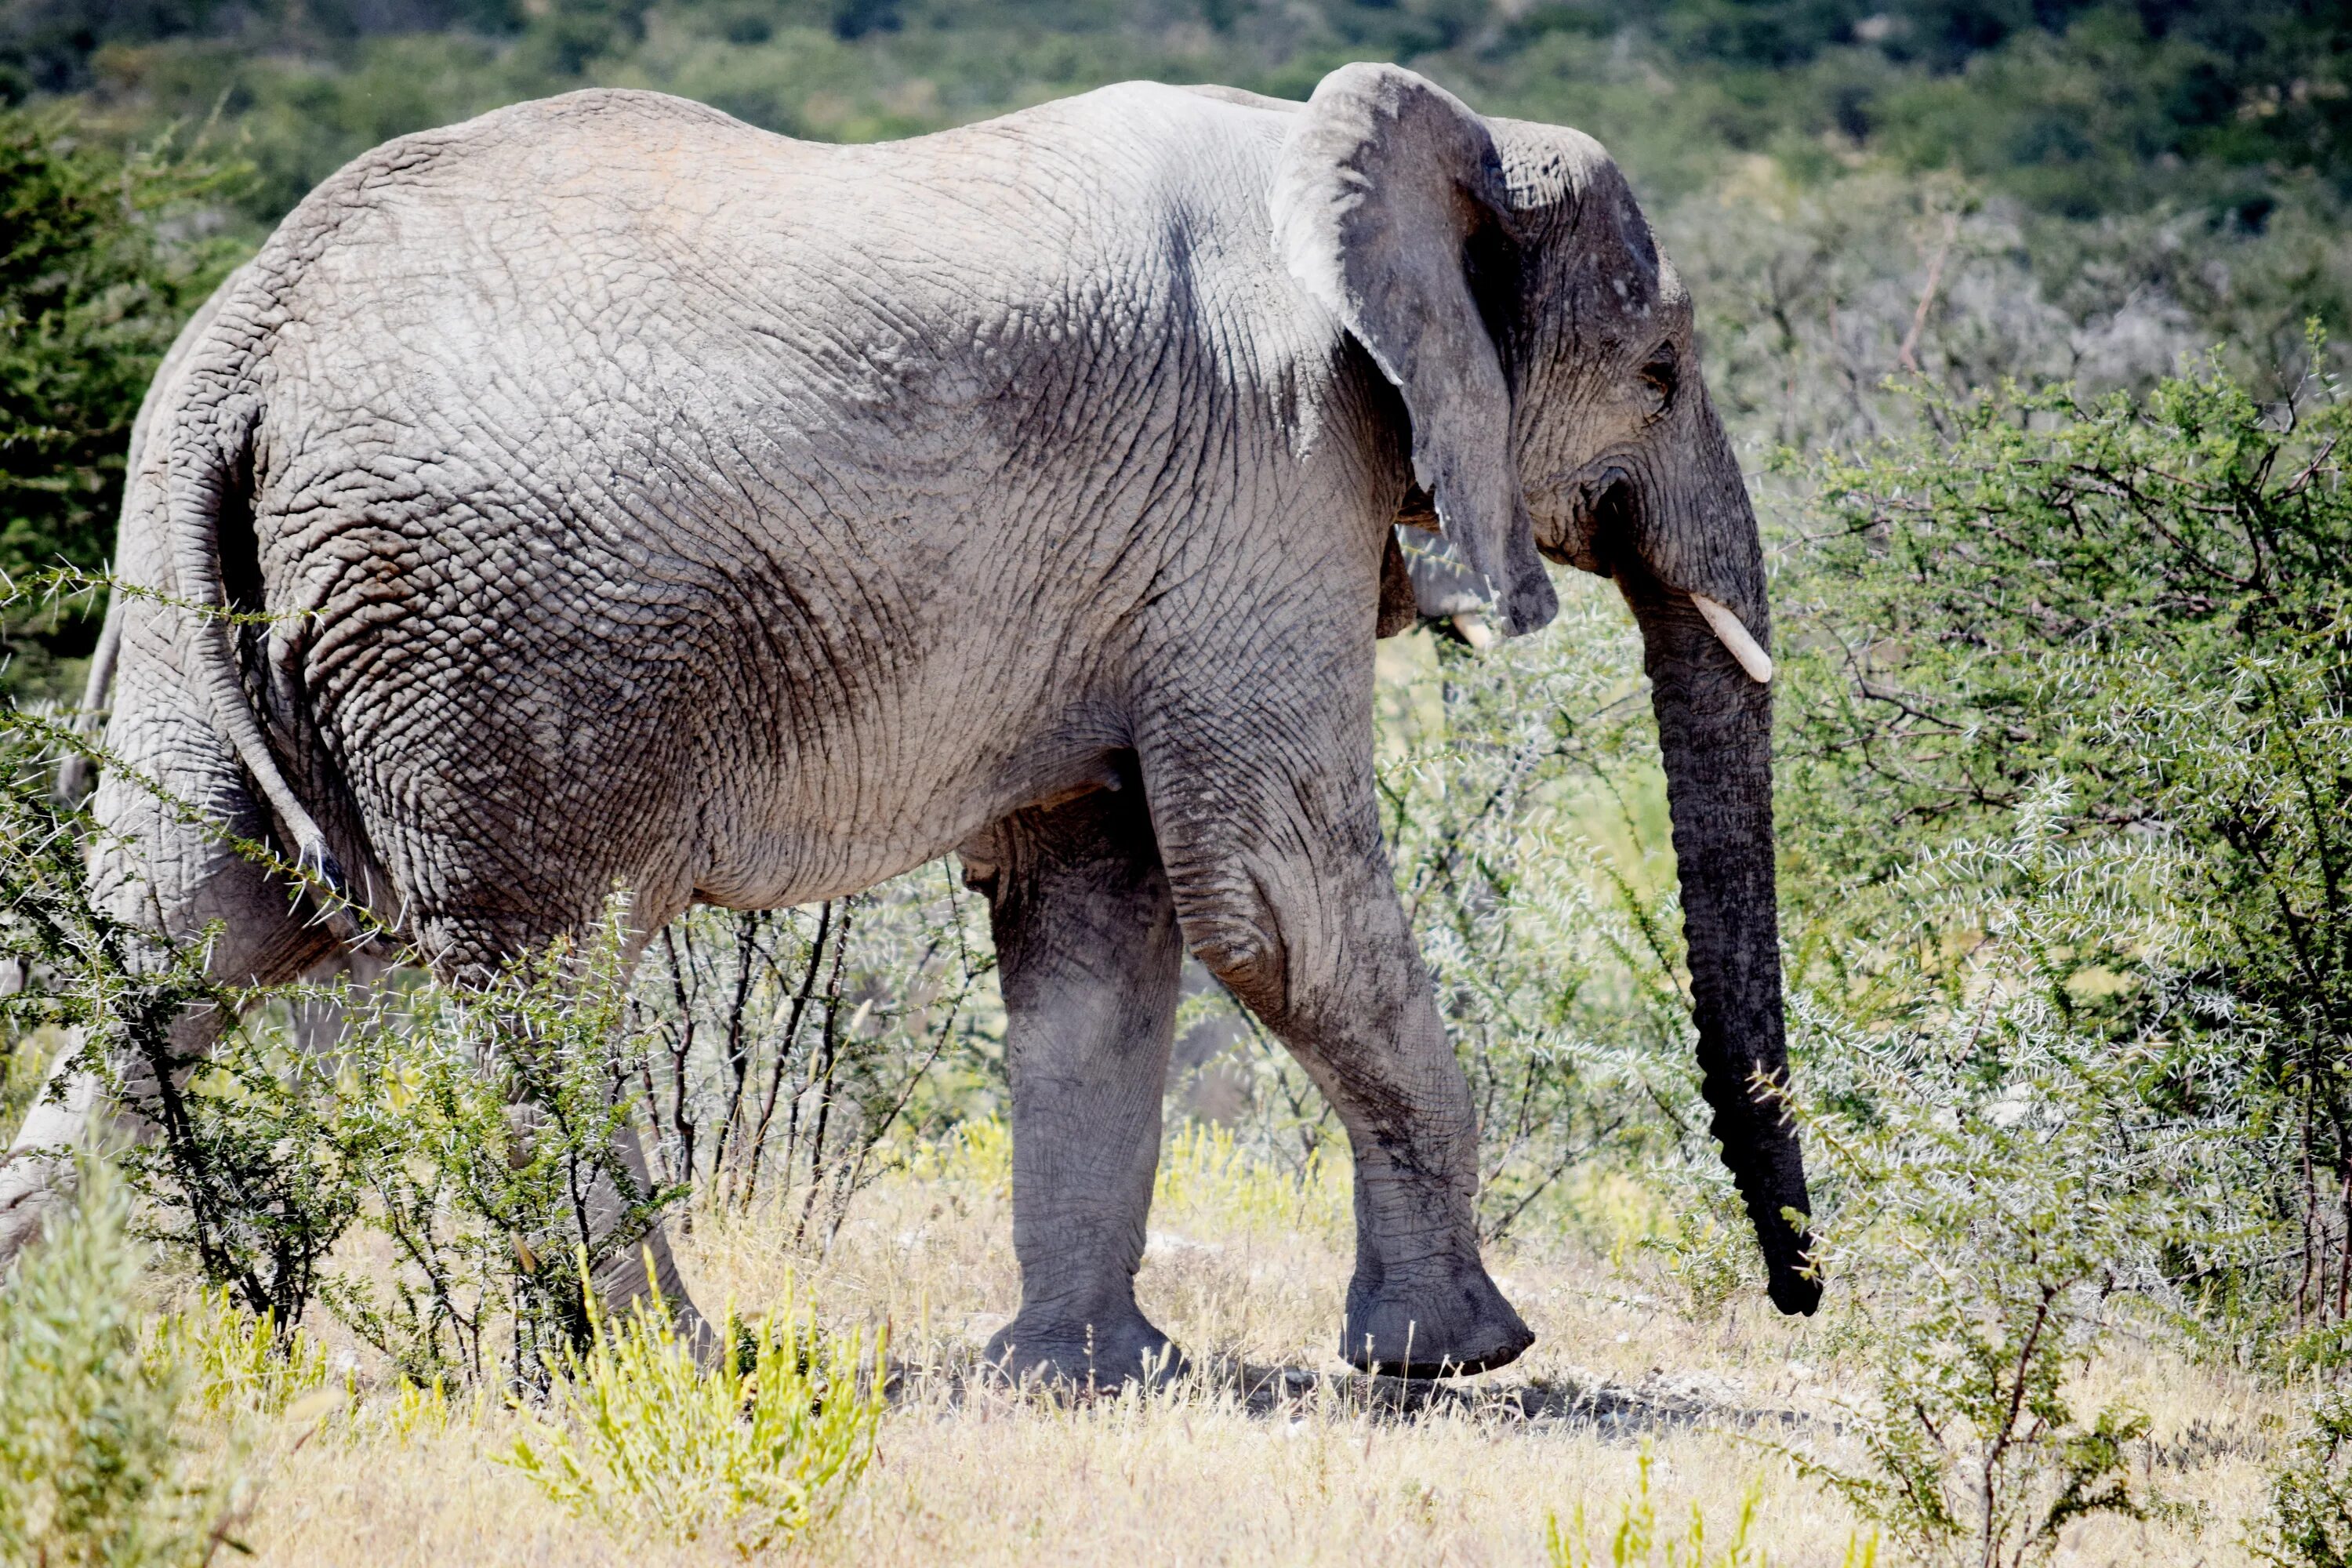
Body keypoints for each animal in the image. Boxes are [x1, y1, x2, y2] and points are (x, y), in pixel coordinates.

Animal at [0, 61, 1816, 1382]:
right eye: (1661, 370)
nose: (1803, 1296)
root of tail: (243, 340)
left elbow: (1102, 925)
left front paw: (1089, 1377)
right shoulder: (1272, 472)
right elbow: (1272, 899)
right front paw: (1461, 1359)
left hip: (194, 601)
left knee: (161, 959)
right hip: (489, 627)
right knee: (544, 989)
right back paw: (666, 1369)